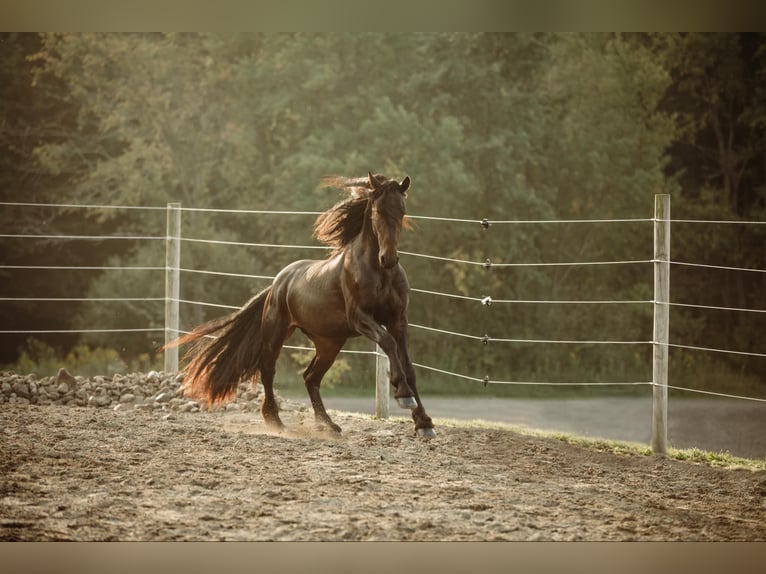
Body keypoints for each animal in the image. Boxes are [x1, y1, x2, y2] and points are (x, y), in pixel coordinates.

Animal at [169, 172, 436, 438]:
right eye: (378, 211)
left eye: (402, 210)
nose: (388, 259)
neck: (379, 272)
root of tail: (277, 283)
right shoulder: (361, 318)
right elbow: (388, 344)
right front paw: (403, 395)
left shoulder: (397, 320)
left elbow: (409, 367)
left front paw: (424, 423)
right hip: (277, 333)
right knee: (268, 370)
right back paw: (275, 420)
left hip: (329, 342)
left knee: (310, 378)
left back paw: (328, 425)